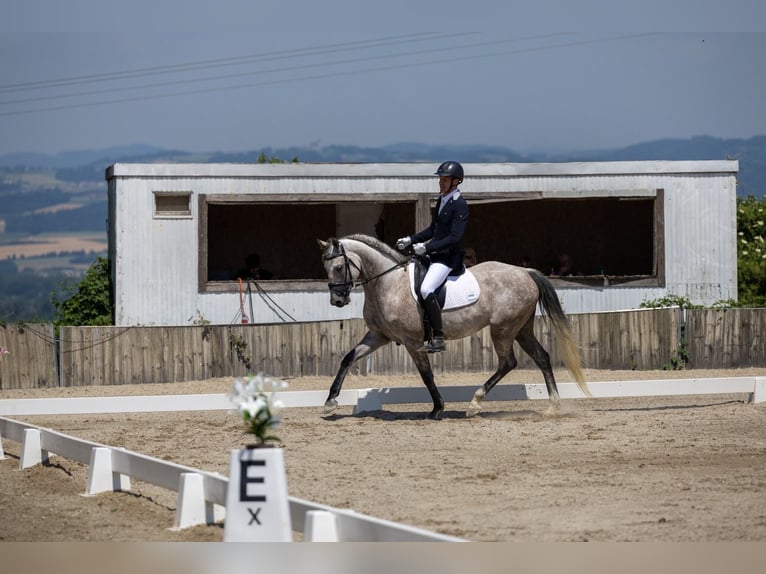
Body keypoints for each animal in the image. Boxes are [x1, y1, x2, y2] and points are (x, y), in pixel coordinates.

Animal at [318, 234, 590, 420]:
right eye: (325, 267)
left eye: (339, 267)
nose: (337, 301)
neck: (388, 283)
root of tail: (526, 272)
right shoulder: (378, 336)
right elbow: (347, 358)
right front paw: (330, 402)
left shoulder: (412, 341)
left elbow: (426, 375)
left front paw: (437, 409)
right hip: (521, 328)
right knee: (541, 357)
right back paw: (552, 406)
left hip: (503, 328)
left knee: (508, 362)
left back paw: (475, 403)